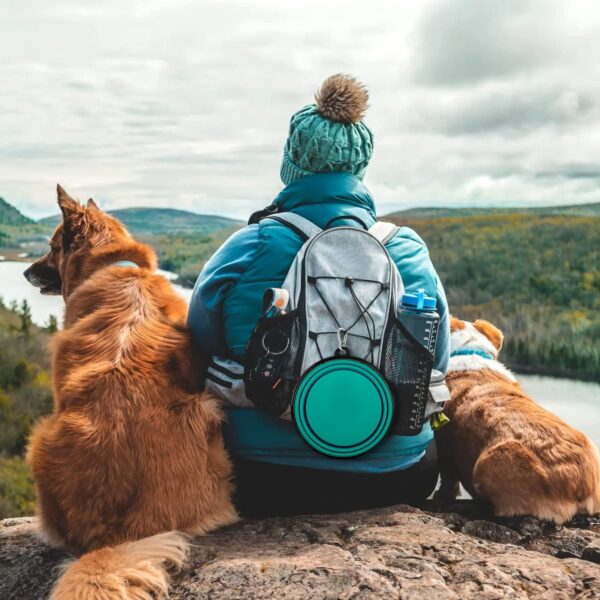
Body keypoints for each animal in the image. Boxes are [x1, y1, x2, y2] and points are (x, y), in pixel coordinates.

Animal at [24, 185, 238, 596]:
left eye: (53, 246)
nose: (26, 271)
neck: (116, 266)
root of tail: (118, 535)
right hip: (208, 411)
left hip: (39, 437)